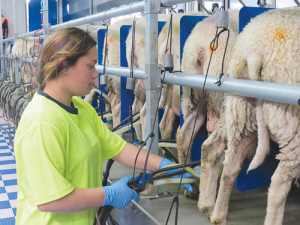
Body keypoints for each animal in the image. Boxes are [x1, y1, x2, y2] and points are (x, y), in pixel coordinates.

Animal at [210, 7, 300, 225]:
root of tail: (255, 51)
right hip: (292, 119)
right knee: (278, 183)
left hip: (243, 110)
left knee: (230, 164)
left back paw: (218, 216)